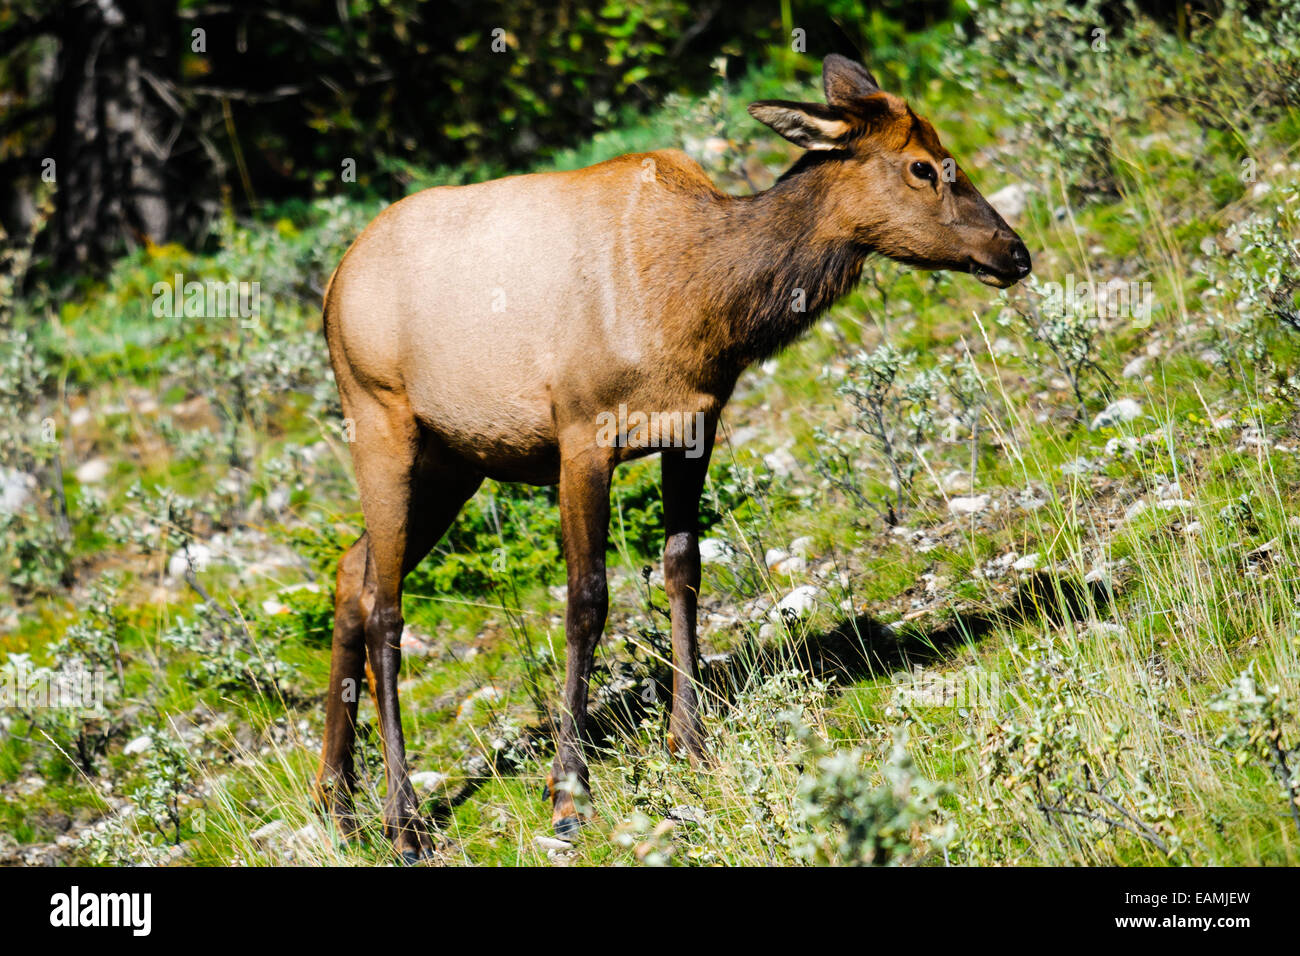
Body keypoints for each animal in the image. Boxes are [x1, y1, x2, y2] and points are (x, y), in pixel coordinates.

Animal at [312, 53, 1031, 861]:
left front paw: (689, 740)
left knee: (351, 571)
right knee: (387, 610)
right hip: (381, 422)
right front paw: (569, 792)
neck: (701, 306)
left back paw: (336, 800)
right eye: (921, 166)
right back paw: (401, 819)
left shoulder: (695, 425)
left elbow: (683, 570)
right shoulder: (580, 434)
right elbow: (586, 601)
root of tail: (333, 288)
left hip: (454, 460)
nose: (1014, 251)